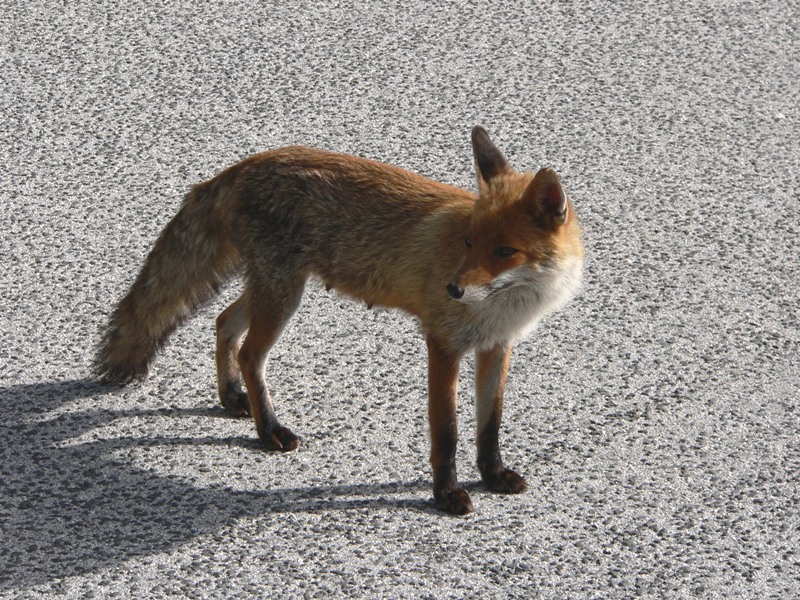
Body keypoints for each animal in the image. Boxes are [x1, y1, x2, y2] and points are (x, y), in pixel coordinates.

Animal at [97, 126, 584, 516]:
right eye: (469, 243)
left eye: (504, 251)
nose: (453, 290)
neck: (507, 307)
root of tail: (240, 166)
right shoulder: (443, 345)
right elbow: (446, 433)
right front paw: (446, 494)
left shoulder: (496, 347)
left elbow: (489, 426)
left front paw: (492, 475)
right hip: (282, 296)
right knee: (251, 353)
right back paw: (267, 429)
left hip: (271, 289)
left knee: (223, 323)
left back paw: (233, 397)